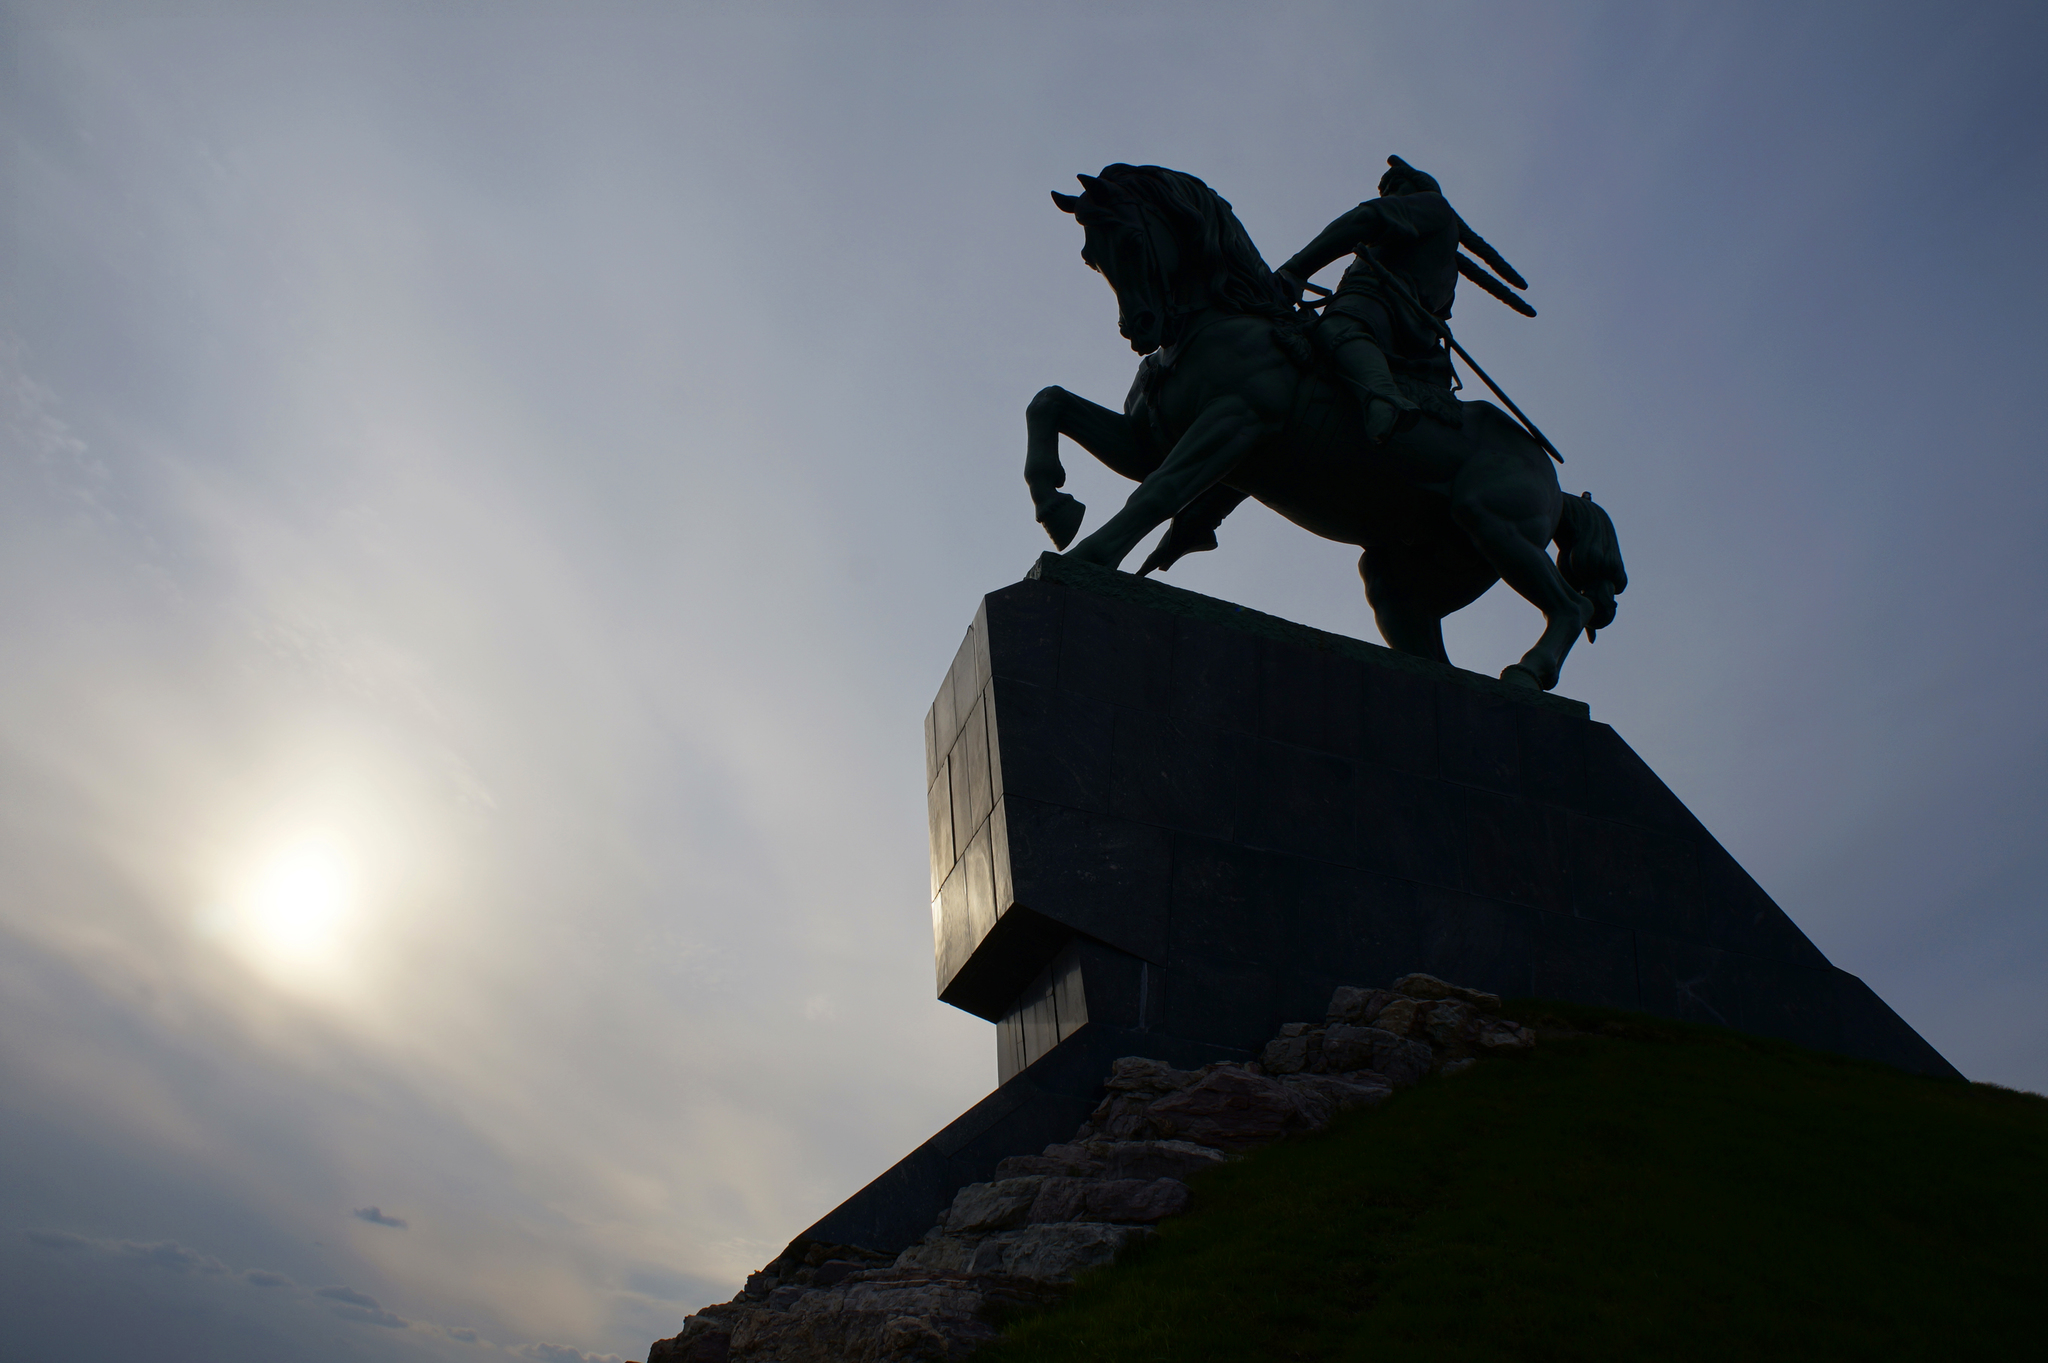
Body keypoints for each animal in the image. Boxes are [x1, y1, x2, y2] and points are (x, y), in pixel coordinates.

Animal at [1032, 164, 1622, 691]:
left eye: (1132, 240)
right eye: (1090, 256)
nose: (1141, 329)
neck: (1222, 316)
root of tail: (1558, 488)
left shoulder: (1233, 422)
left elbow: (1159, 490)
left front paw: (1090, 556)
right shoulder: (1149, 441)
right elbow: (1048, 404)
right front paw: (1056, 507)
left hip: (1496, 526)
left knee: (1573, 605)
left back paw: (1529, 672)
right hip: (1407, 578)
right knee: (1433, 649)